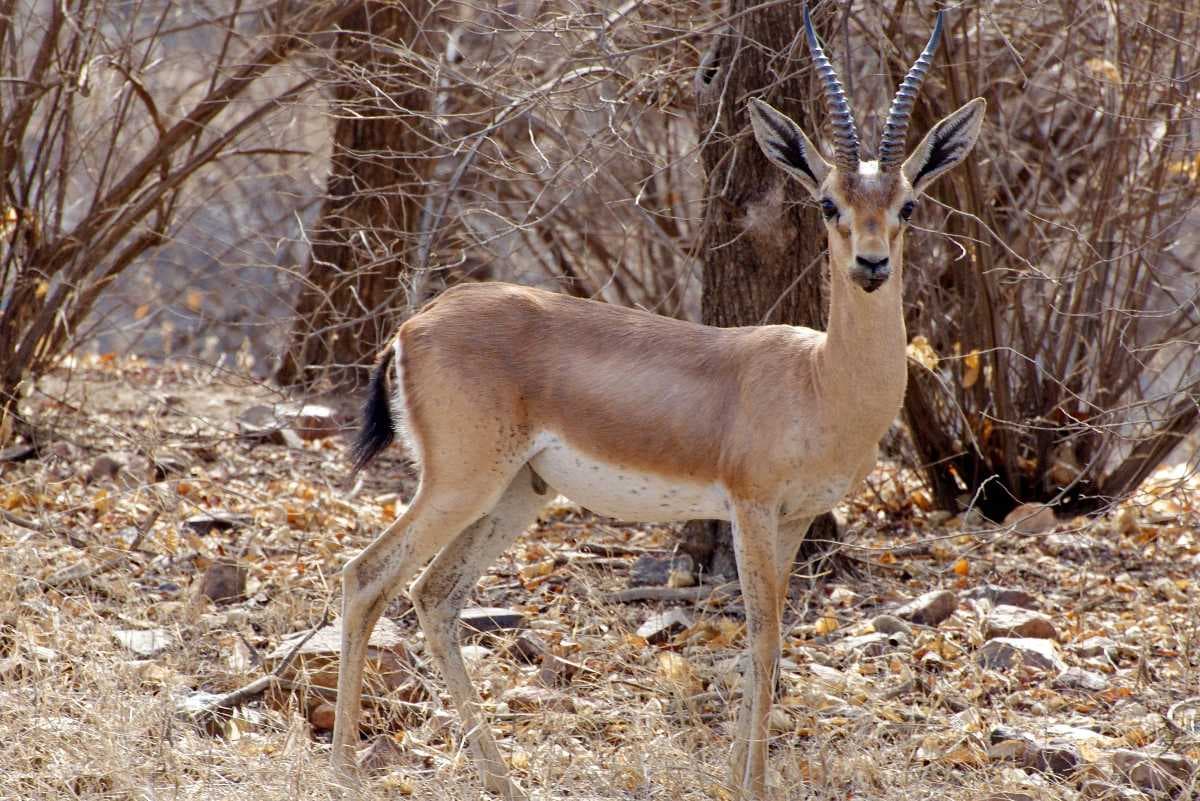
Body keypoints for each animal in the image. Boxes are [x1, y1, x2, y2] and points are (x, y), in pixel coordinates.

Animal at [332, 6, 984, 799]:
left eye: (907, 204)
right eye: (828, 203)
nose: (871, 264)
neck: (821, 380)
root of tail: (413, 325)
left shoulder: (796, 517)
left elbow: (770, 637)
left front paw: (736, 775)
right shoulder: (751, 507)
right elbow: (763, 634)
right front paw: (751, 785)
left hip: (517, 492)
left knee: (436, 595)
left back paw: (501, 779)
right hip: (461, 482)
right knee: (366, 576)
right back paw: (339, 770)